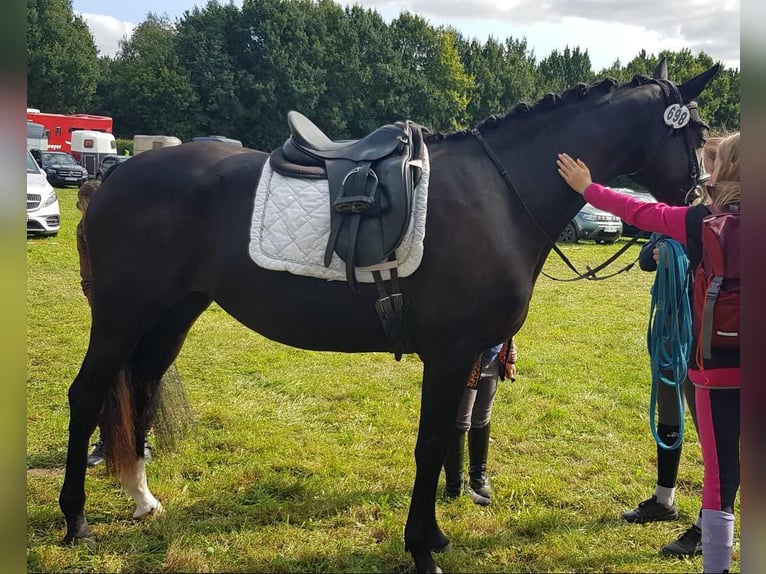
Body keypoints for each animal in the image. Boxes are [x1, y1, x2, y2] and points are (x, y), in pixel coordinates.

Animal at [58, 60, 720, 572]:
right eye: (699, 133)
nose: (699, 208)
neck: (502, 192)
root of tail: (118, 174)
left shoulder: (463, 356)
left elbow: (444, 441)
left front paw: (433, 536)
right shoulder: (450, 354)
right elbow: (430, 447)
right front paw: (422, 547)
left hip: (172, 314)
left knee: (141, 391)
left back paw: (141, 500)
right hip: (122, 314)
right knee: (87, 394)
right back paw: (75, 520)